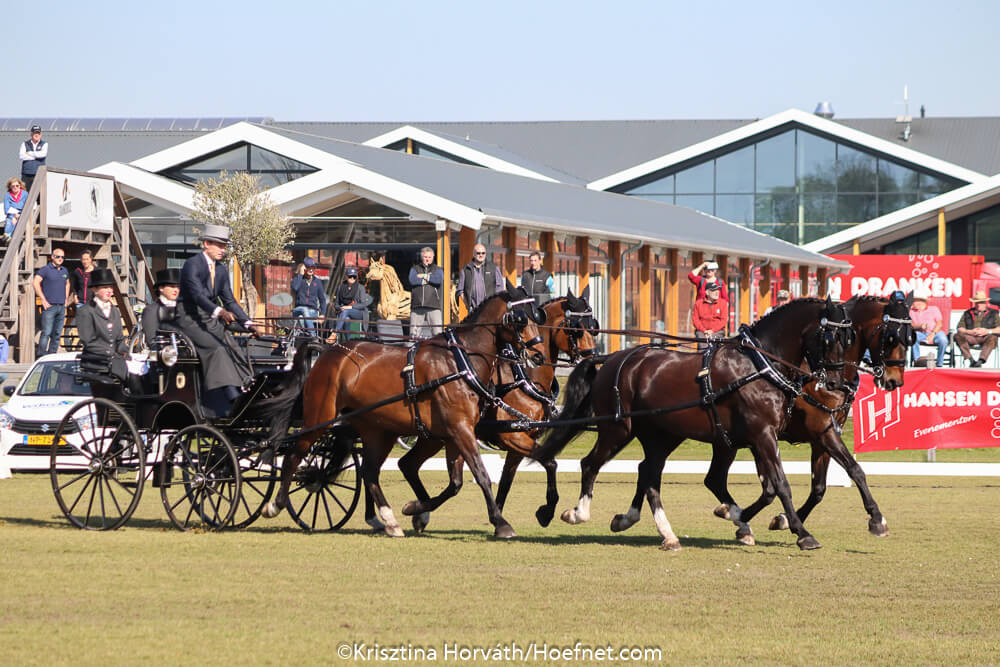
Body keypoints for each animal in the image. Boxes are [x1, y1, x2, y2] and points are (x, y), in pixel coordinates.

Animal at [261, 288, 548, 538]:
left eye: (537, 316)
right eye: (521, 320)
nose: (539, 355)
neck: (460, 361)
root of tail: (329, 351)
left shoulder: (456, 433)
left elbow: (456, 483)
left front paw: (415, 509)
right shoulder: (460, 430)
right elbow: (481, 474)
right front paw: (501, 523)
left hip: (377, 431)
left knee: (369, 472)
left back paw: (389, 520)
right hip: (320, 418)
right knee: (294, 456)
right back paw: (274, 504)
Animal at [396, 287, 599, 533]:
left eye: (594, 326)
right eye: (576, 329)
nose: (593, 360)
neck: (523, 378)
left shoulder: (519, 443)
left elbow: (506, 482)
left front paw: (499, 519)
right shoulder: (512, 437)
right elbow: (550, 462)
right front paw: (546, 511)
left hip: (435, 437)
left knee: (408, 465)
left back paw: (419, 513)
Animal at [533, 297, 850, 551]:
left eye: (849, 338)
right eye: (829, 337)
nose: (836, 384)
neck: (758, 366)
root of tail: (612, 358)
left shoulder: (759, 438)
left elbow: (770, 486)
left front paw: (742, 520)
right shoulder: (763, 435)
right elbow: (781, 485)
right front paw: (801, 533)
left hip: (662, 436)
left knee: (649, 474)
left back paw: (663, 532)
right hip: (617, 430)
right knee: (591, 464)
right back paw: (578, 513)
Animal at [707, 293, 912, 543]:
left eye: (910, 337)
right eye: (890, 337)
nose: (895, 381)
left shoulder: (823, 436)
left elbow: (819, 488)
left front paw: (785, 520)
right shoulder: (823, 432)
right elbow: (855, 470)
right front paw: (876, 519)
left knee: (718, 480)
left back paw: (738, 518)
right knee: (721, 480)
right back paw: (737, 517)